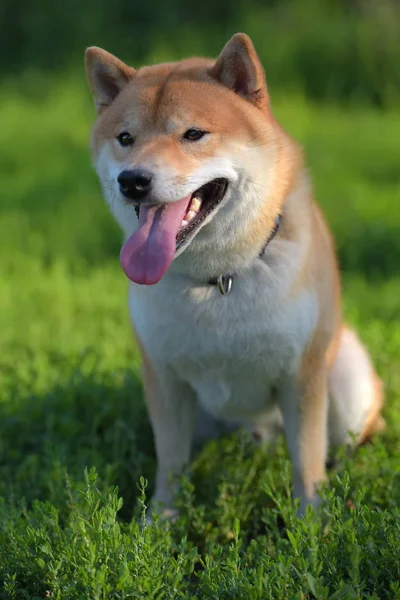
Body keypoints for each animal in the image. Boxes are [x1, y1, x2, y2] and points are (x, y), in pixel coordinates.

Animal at [84, 32, 384, 512]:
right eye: (125, 138)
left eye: (193, 134)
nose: (132, 180)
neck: (218, 278)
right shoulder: (165, 380)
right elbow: (171, 463)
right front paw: (161, 520)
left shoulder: (300, 377)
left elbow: (307, 463)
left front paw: (311, 522)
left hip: (346, 380)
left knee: (349, 442)